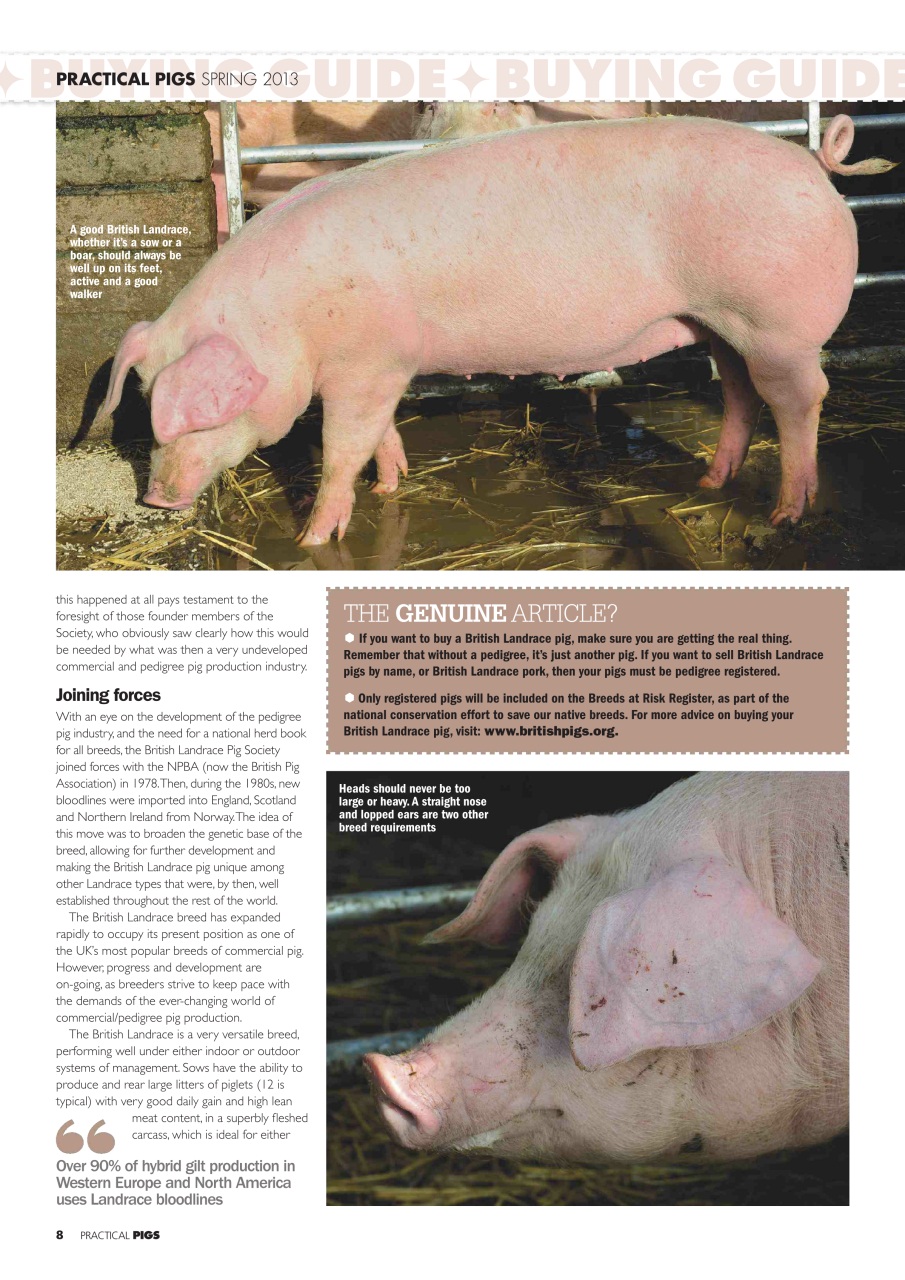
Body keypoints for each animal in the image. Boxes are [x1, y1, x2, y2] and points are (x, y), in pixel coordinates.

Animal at [103, 115, 892, 541]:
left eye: (203, 410)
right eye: (142, 404)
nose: (155, 496)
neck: (290, 319)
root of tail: (812, 162)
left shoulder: (363, 367)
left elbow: (338, 450)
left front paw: (313, 538)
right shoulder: (384, 367)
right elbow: (377, 436)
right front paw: (392, 486)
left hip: (776, 326)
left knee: (801, 399)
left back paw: (787, 513)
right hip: (719, 324)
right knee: (738, 394)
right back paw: (707, 479)